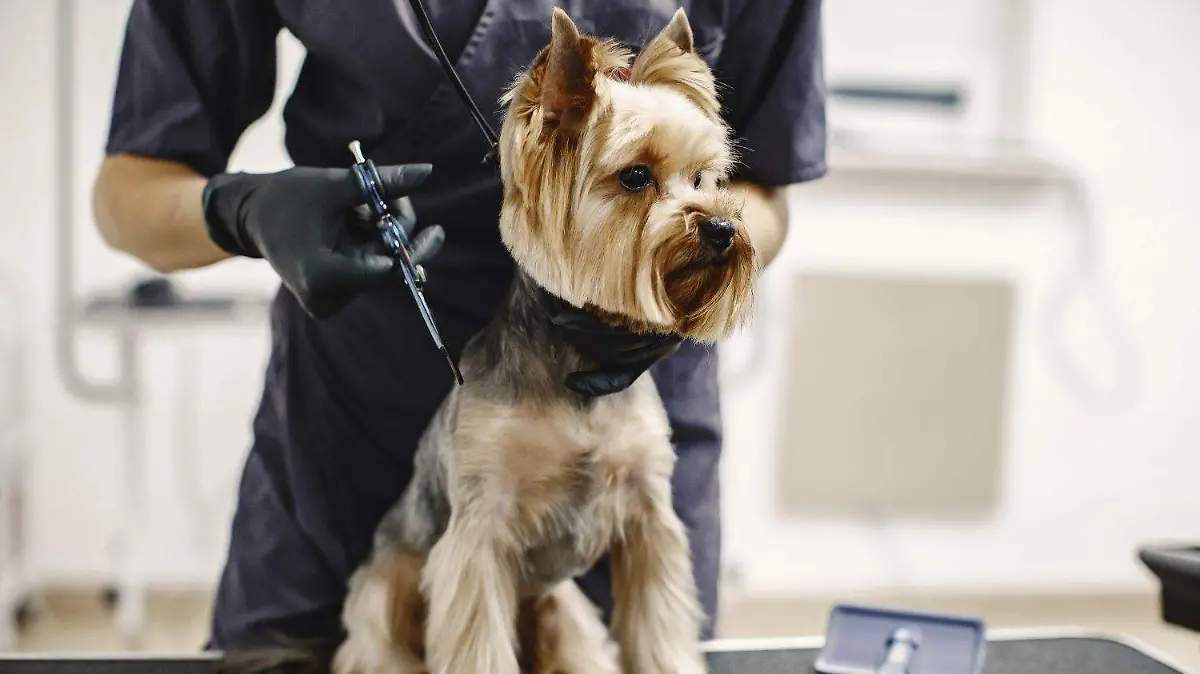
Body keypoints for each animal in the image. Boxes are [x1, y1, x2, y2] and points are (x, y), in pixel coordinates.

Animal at [319, 9, 753, 671]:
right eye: (635, 177)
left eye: (704, 177)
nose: (723, 227)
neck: (584, 359)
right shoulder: (479, 533)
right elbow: (477, 641)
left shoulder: (649, 518)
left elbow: (659, 626)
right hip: (383, 590)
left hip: (560, 608)